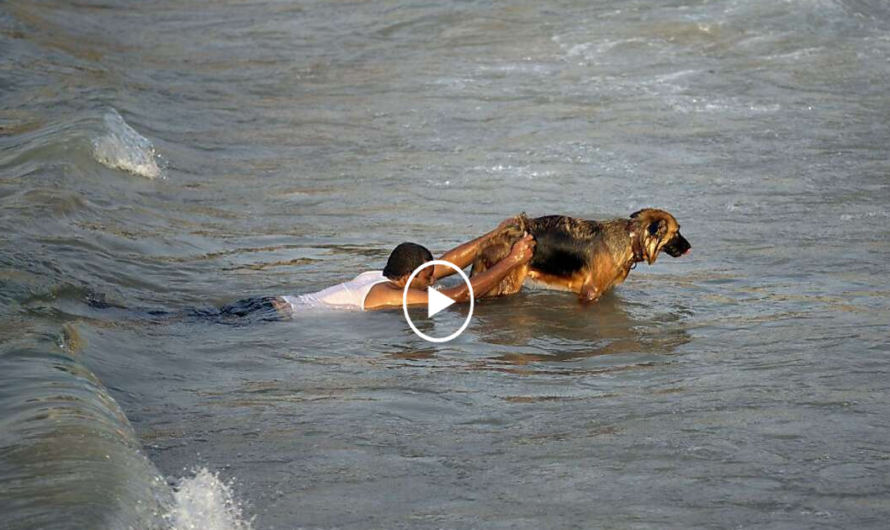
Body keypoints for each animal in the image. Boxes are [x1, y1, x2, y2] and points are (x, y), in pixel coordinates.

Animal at [472, 209, 688, 302]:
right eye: (677, 232)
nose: (690, 247)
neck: (631, 238)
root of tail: (500, 234)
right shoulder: (591, 291)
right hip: (508, 281)